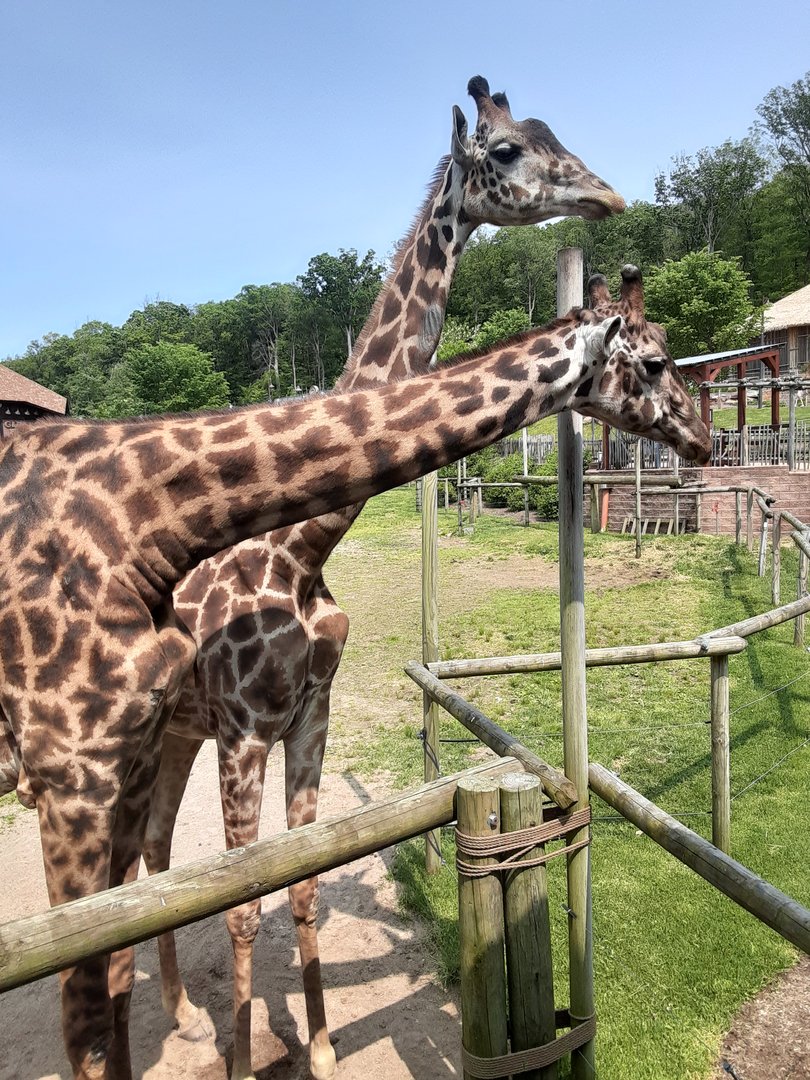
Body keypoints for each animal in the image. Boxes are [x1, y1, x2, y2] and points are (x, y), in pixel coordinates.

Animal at [144, 75, 625, 1080]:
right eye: (508, 149)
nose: (608, 195)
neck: (303, 550)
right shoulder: (245, 729)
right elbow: (242, 904)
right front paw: (249, 1058)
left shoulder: (308, 714)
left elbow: (302, 882)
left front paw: (324, 1050)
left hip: (174, 733)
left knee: (156, 854)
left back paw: (178, 1015)